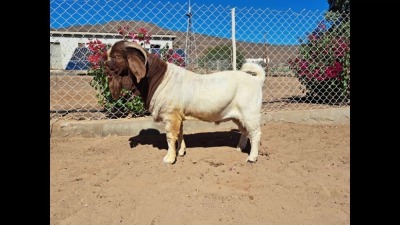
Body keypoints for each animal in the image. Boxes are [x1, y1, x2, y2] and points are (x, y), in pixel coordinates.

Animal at [103, 40, 266, 163]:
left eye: (117, 56)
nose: (105, 65)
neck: (157, 78)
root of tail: (256, 80)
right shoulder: (178, 115)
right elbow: (180, 134)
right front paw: (181, 151)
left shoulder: (170, 115)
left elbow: (170, 136)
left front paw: (169, 158)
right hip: (238, 116)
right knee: (245, 131)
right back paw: (239, 148)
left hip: (250, 113)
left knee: (256, 133)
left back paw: (252, 157)